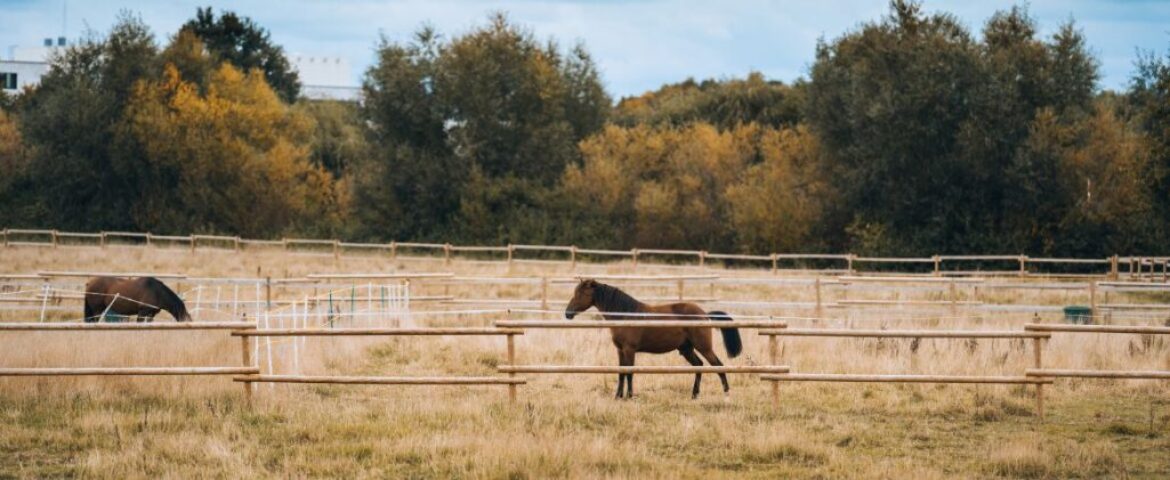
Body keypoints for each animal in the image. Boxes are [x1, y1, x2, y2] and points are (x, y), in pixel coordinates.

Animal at [563, 279, 744, 400]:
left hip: (703, 347)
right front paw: (618, 396)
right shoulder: (620, 350)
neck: (626, 315)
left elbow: (629, 372)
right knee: (699, 366)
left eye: (581, 293)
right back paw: (694, 394)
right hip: (686, 349)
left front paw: (629, 396)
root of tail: (704, 314)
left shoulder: (630, 349)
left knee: (718, 365)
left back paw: (726, 394)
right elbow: (621, 372)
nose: (567, 313)